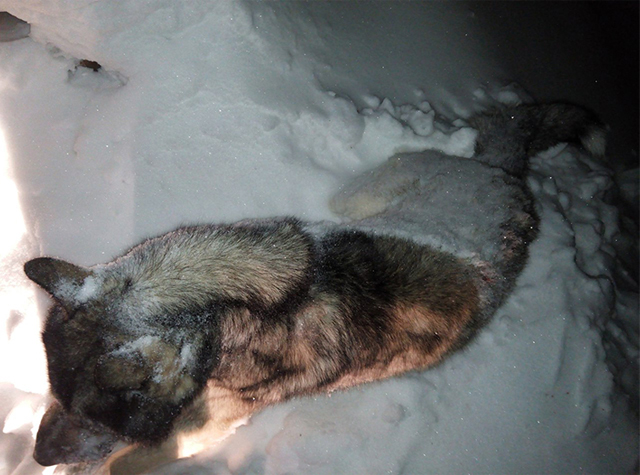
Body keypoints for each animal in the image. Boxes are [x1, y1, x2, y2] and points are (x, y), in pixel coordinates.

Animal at [25, 102, 604, 474]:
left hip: (382, 187)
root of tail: (507, 176)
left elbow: (124, 465)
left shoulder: (208, 427)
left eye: (94, 418)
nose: (37, 457)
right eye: (54, 392)